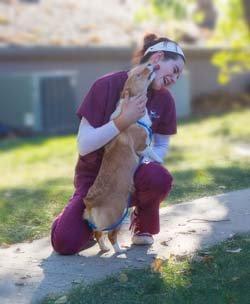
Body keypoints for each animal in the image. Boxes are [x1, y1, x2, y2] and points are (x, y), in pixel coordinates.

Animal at [84, 63, 158, 253]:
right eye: (138, 74)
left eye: (140, 67)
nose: (150, 63)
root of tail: (90, 202)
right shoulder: (142, 145)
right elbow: (151, 151)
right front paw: (157, 160)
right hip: (120, 212)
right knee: (110, 234)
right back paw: (119, 250)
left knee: (97, 233)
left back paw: (104, 249)